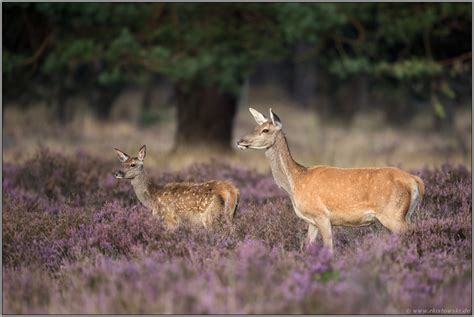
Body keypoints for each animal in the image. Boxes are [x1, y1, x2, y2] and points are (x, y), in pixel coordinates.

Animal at [237, 107, 426, 253]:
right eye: (255, 126)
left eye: (265, 130)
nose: (240, 141)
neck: (295, 182)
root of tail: (415, 180)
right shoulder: (311, 220)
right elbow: (307, 246)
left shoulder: (322, 215)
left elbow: (329, 249)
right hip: (406, 214)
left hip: (392, 214)